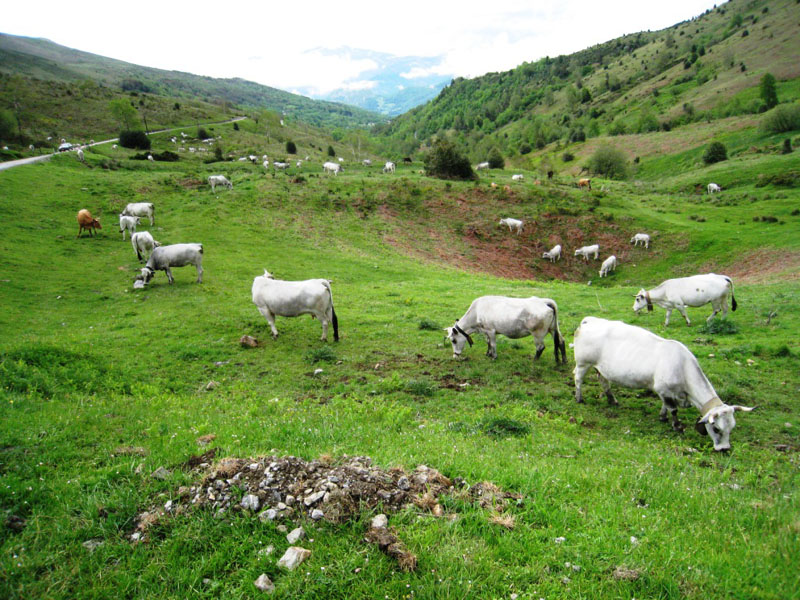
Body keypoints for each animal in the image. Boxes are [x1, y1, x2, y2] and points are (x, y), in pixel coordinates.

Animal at [576, 318, 752, 450]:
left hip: (600, 368)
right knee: (578, 379)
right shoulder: (663, 390)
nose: (725, 449)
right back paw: (579, 398)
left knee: (604, 381)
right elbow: (673, 409)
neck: (682, 366)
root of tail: (589, 320)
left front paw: (662, 416)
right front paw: (677, 426)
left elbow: (666, 406)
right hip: (583, 363)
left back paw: (612, 400)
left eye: (731, 428)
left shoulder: (666, 391)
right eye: (716, 428)